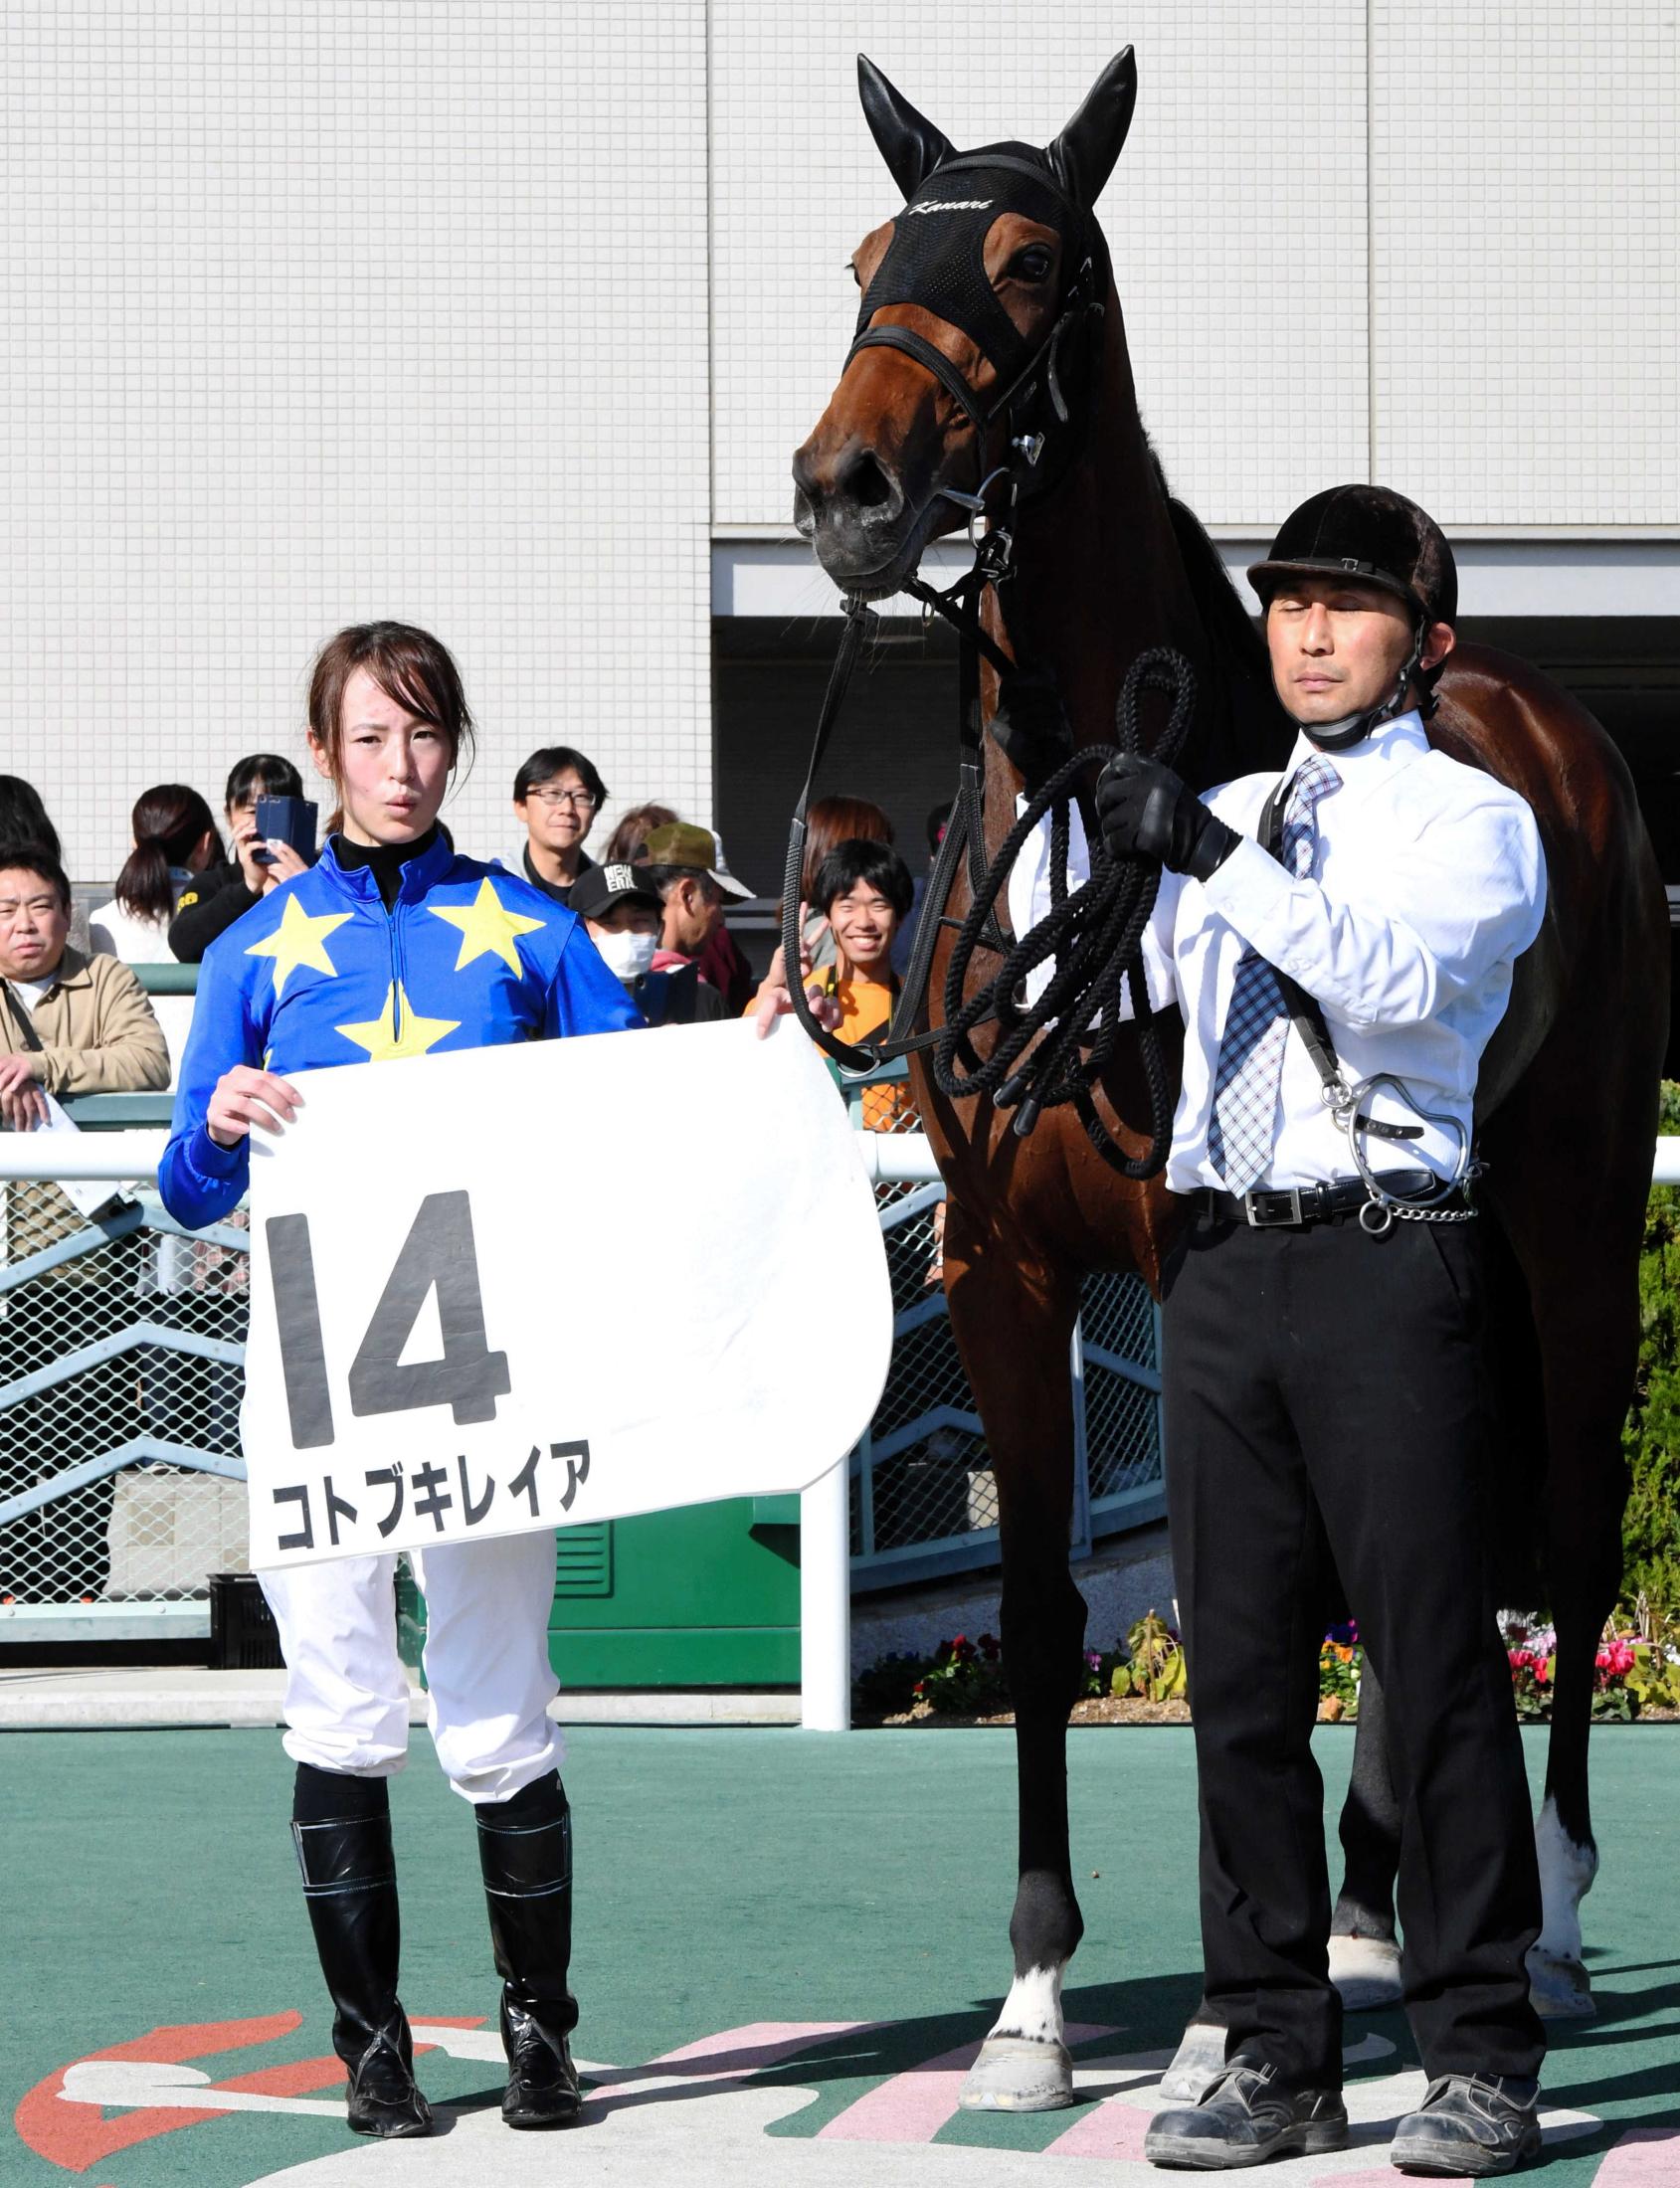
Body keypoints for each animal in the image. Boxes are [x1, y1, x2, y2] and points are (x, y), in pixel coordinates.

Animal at [787, 47, 1662, 2100]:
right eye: (866, 256)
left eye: (1027, 262)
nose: (846, 491)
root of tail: (1563, 734)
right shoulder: (1001, 1270)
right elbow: (1042, 1615)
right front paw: (1032, 2003)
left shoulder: (1203, 1260)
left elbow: (1245, 1603)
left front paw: (1216, 2013)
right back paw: (1366, 1907)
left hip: (1581, 1224)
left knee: (1568, 1527)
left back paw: (1551, 1917)